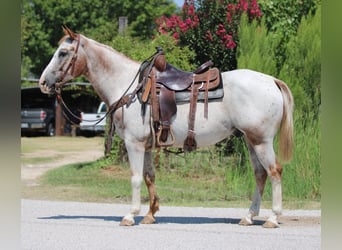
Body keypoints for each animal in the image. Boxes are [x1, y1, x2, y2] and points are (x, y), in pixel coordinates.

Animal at [38, 27, 292, 229]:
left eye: (63, 53)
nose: (43, 83)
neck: (129, 86)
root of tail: (272, 81)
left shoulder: (134, 143)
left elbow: (135, 178)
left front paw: (130, 215)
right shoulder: (147, 146)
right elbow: (149, 176)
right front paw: (150, 214)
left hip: (261, 141)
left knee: (275, 172)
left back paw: (272, 218)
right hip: (251, 140)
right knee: (260, 174)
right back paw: (249, 216)